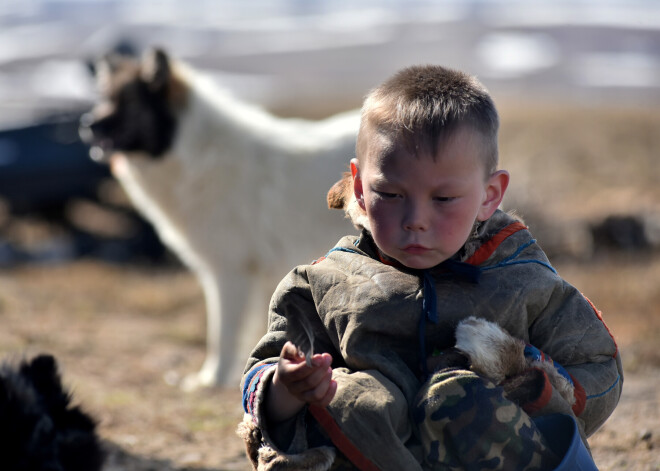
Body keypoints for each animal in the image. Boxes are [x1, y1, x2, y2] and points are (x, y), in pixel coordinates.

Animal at [81, 48, 366, 390]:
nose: (87, 125)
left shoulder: (230, 272)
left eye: (129, 101)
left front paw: (211, 380)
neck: (192, 152)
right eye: (105, 97)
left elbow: (222, 334)